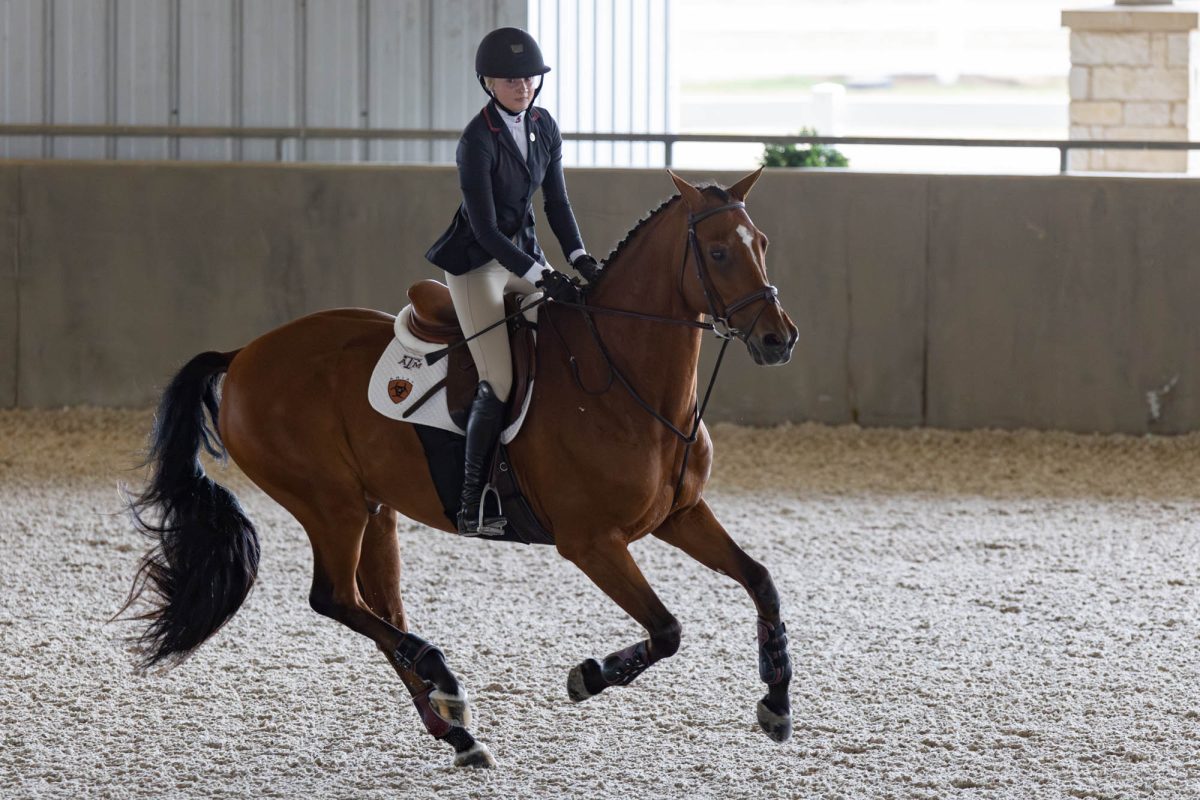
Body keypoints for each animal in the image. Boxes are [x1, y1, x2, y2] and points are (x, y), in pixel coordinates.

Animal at [119, 169, 796, 767]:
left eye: (762, 243)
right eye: (717, 252)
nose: (778, 339)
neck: (622, 379)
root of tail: (245, 354)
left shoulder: (680, 514)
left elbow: (760, 581)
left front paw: (777, 701)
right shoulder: (591, 543)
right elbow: (668, 628)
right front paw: (587, 676)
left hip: (374, 509)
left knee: (381, 611)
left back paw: (457, 732)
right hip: (329, 504)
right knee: (334, 599)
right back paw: (444, 681)